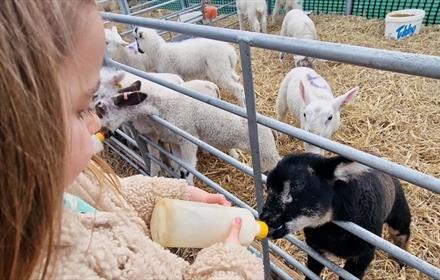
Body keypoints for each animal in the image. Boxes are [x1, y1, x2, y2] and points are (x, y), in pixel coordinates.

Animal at [95, 69, 282, 184]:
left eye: (101, 110)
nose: (102, 132)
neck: (163, 105)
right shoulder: (174, 141)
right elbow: (175, 166)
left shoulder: (188, 140)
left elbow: (187, 170)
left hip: (266, 153)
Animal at [260, 153, 410, 280]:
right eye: (268, 187)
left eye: (297, 185)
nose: (265, 219)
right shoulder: (316, 251)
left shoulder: (362, 258)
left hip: (399, 212)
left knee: (402, 235)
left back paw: (401, 263)